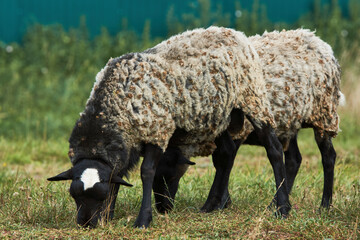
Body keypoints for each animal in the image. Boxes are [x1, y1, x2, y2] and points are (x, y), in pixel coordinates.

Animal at [47, 26, 290, 229]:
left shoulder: (158, 131)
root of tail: (234, 32)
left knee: (274, 150)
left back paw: (282, 208)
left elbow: (147, 172)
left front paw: (143, 220)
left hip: (253, 99)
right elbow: (120, 174)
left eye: (99, 194)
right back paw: (211, 205)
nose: (86, 224)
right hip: (217, 115)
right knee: (226, 153)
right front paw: (109, 216)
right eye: (74, 195)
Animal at [154, 28, 344, 214]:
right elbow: (221, 160)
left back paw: (324, 205)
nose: (162, 208)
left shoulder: (238, 130)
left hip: (323, 114)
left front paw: (218, 202)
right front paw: (224, 201)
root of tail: (321, 43)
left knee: (328, 156)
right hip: (290, 122)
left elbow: (224, 159)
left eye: (167, 174)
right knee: (294, 159)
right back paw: (275, 203)